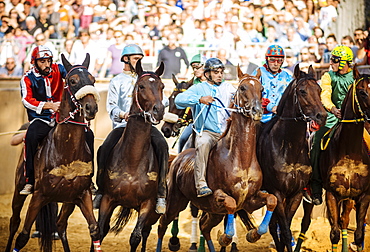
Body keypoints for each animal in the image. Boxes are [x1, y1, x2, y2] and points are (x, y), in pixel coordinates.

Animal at [5, 53, 101, 252]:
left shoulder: (82, 195)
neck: (66, 151)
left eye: (93, 80)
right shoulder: (39, 196)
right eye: (72, 81)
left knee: (60, 225)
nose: (91, 108)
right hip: (19, 191)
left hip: (68, 201)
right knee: (14, 222)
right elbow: (22, 236)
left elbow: (95, 229)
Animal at [97, 60, 165, 251]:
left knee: (145, 232)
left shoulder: (147, 204)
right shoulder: (107, 199)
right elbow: (99, 231)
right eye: (141, 86)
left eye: (162, 86)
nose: (158, 110)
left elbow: (135, 237)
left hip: (153, 215)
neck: (133, 161)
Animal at [156, 65, 278, 252]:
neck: (240, 160)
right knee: (163, 224)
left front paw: (252, 234)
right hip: (175, 201)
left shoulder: (251, 199)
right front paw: (226, 237)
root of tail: (178, 158)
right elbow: (230, 203)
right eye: (242, 88)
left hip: (212, 213)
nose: (257, 111)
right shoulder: (218, 197)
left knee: (205, 226)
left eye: (262, 89)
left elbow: (272, 199)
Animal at [258, 65, 326, 252]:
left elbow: (285, 228)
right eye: (302, 91)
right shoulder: (277, 193)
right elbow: (286, 232)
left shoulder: (296, 194)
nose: (322, 116)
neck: (289, 149)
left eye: (319, 90)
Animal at [294, 68, 370, 251]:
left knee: (344, 221)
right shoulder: (332, 194)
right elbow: (334, 233)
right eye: (362, 92)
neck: (350, 152)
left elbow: (358, 234)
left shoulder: (362, 195)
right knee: (306, 222)